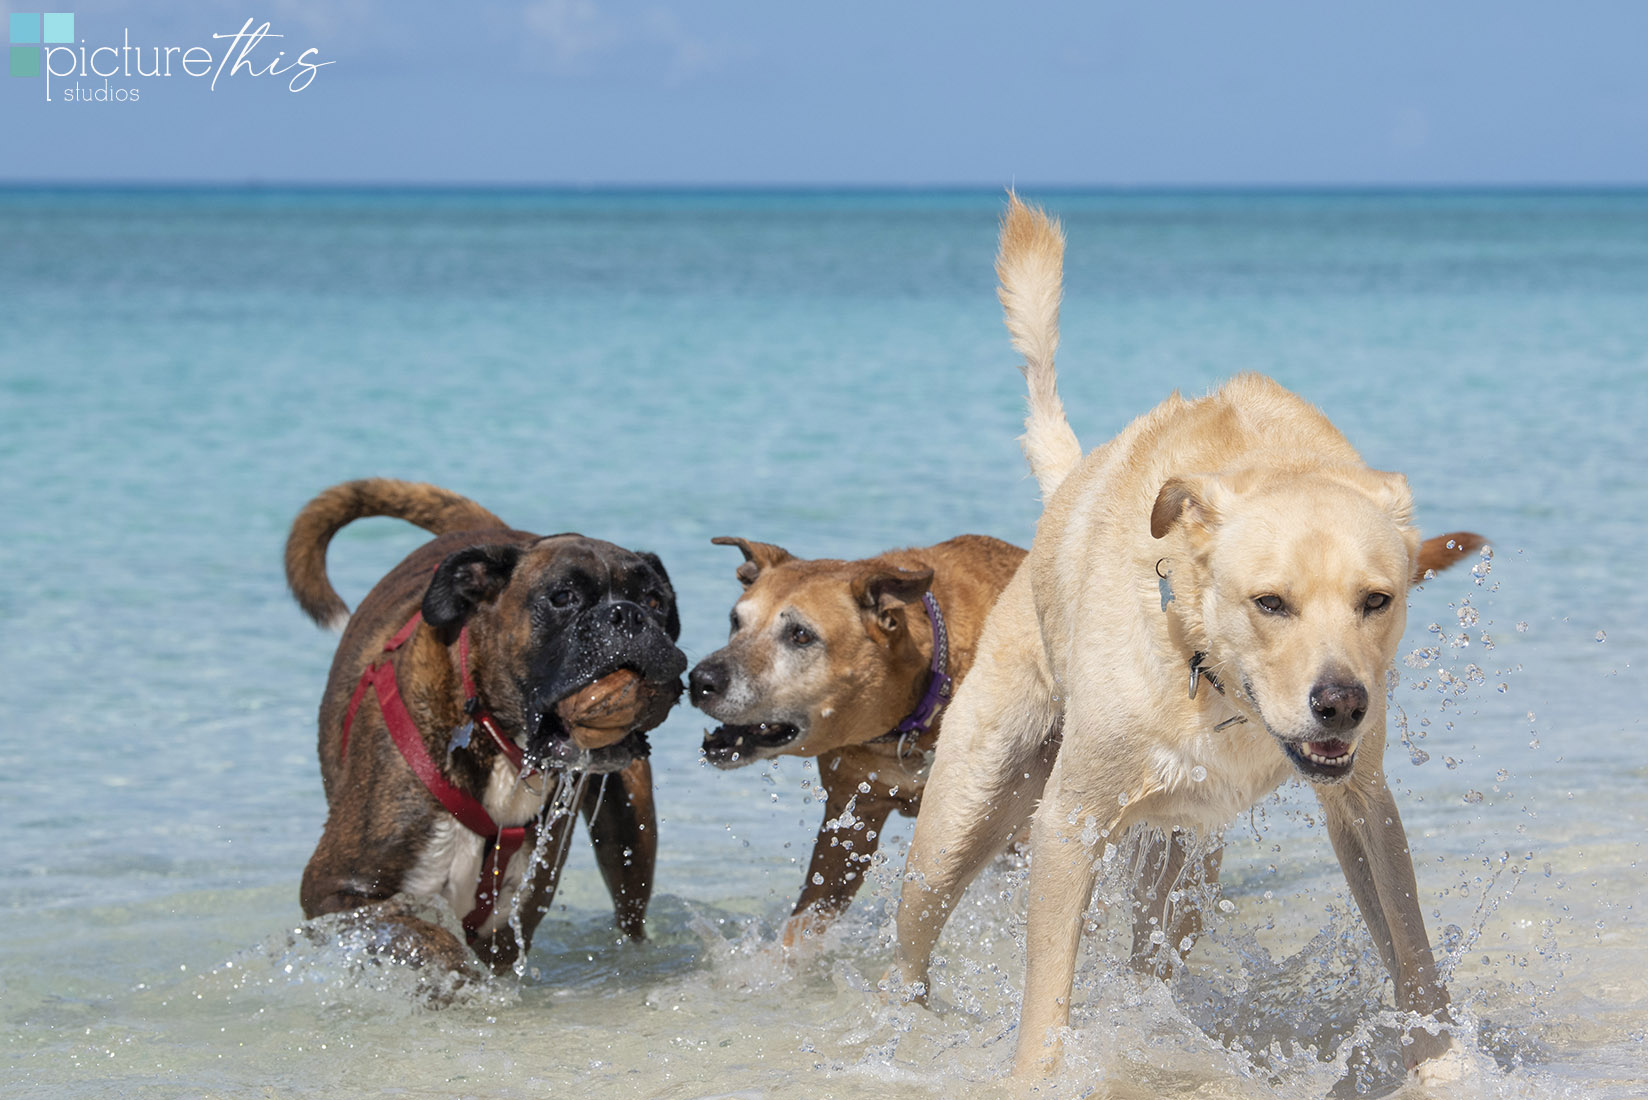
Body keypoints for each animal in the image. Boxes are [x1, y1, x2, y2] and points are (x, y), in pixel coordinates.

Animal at [896, 197, 1489, 1081]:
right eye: (1270, 602)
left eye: (1378, 600)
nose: (1342, 703)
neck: (1209, 673)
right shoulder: (1069, 822)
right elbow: (1047, 1003)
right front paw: (1039, 1076)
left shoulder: (1363, 802)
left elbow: (1411, 948)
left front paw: (1442, 1064)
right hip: (959, 819)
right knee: (910, 948)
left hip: (1184, 859)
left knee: (1153, 955)